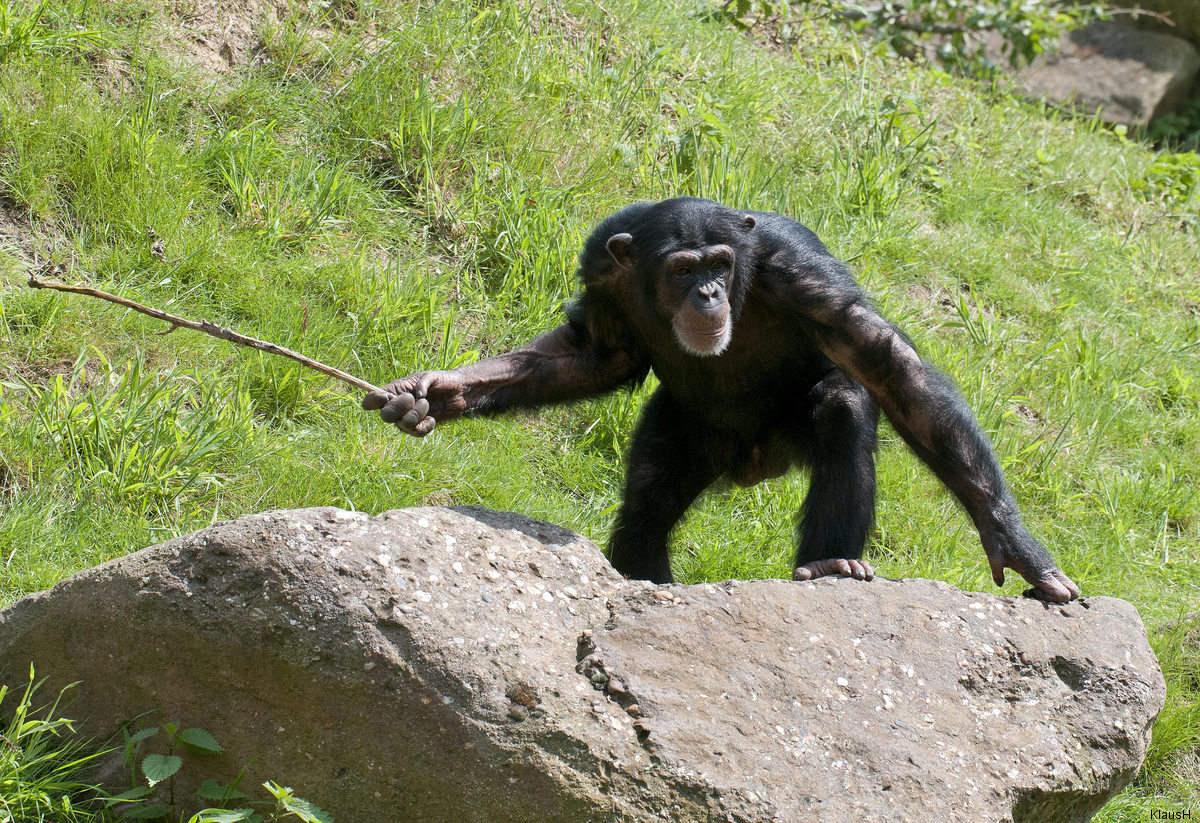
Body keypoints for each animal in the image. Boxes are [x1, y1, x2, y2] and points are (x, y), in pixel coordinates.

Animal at [360, 196, 1084, 602]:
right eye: (685, 269)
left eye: (719, 265)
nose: (708, 293)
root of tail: (754, 464)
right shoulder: (602, 266)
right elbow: (594, 355)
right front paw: (438, 392)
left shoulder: (801, 274)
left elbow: (885, 362)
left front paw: (1013, 541)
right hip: (685, 434)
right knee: (651, 496)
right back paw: (643, 571)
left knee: (843, 404)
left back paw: (829, 563)